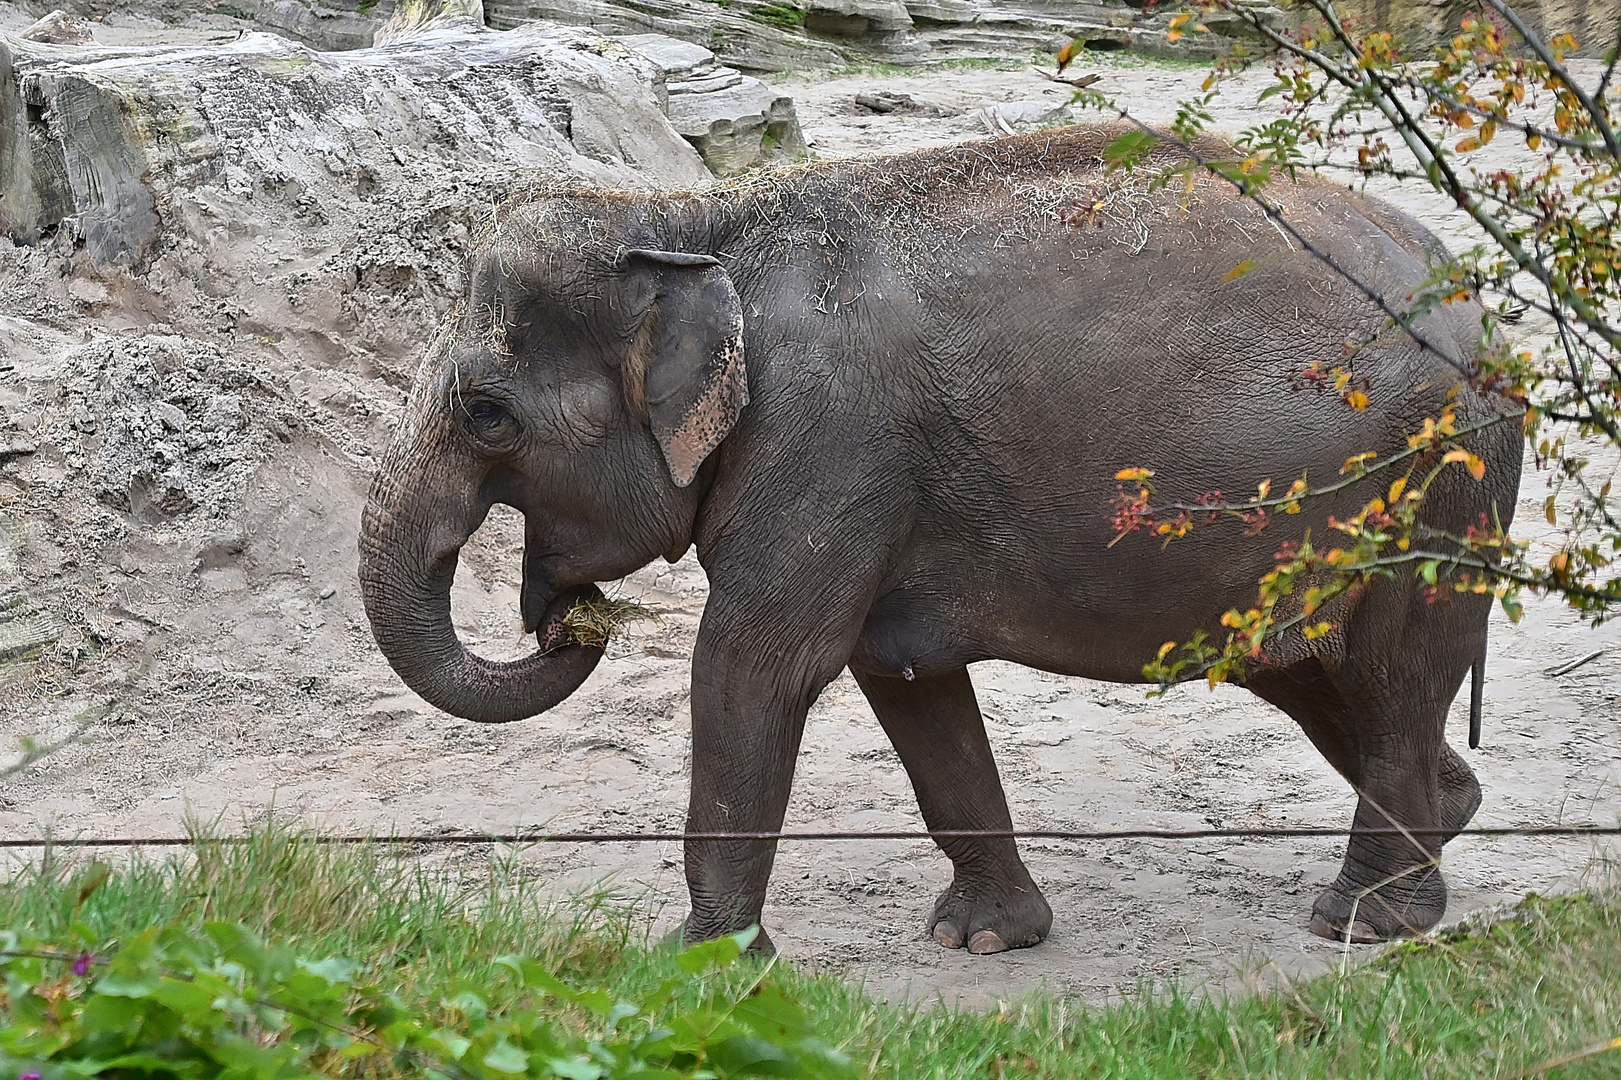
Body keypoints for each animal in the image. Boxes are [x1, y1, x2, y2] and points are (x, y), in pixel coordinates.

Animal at [361, 124, 1523, 953]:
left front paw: (702, 968)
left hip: (1432, 483)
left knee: (1391, 667)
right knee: (1322, 677)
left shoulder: (830, 439)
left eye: (486, 414)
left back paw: (1366, 921)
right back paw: (1441, 828)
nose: (570, 621)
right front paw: (986, 940)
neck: (695, 215)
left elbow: (754, 662)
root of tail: (1478, 300)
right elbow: (903, 678)